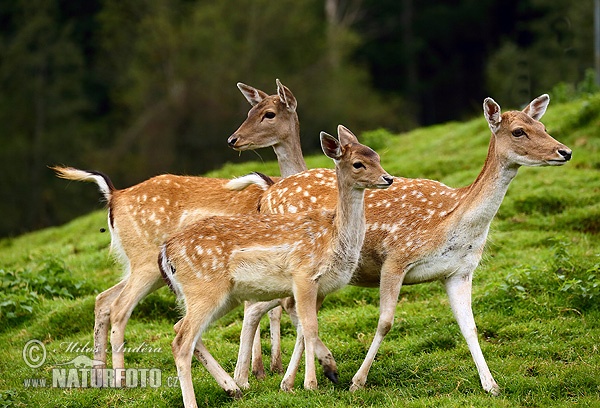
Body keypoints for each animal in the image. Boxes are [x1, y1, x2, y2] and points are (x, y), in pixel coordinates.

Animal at [49, 79, 304, 382]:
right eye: (251, 110)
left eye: (269, 114)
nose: (233, 139)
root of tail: (114, 195)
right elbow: (262, 308)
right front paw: (257, 371)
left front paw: (268, 368)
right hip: (146, 261)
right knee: (120, 308)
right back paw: (120, 379)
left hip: (145, 267)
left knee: (103, 299)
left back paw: (100, 378)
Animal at [158, 126, 394, 404]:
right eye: (358, 163)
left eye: (376, 156)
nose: (388, 178)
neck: (333, 237)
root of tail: (167, 251)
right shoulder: (304, 275)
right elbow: (310, 328)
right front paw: (313, 382)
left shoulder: (320, 288)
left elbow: (304, 329)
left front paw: (300, 381)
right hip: (204, 288)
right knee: (182, 342)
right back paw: (198, 399)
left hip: (223, 296)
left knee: (179, 328)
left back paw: (233, 387)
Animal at [231, 94, 572, 394]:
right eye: (518, 131)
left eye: (543, 126)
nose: (565, 152)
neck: (453, 221)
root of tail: (266, 195)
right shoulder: (397, 257)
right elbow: (385, 322)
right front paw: (357, 381)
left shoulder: (459, 271)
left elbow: (470, 326)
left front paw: (491, 385)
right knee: (259, 307)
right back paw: (250, 378)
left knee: (270, 309)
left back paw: (275, 380)